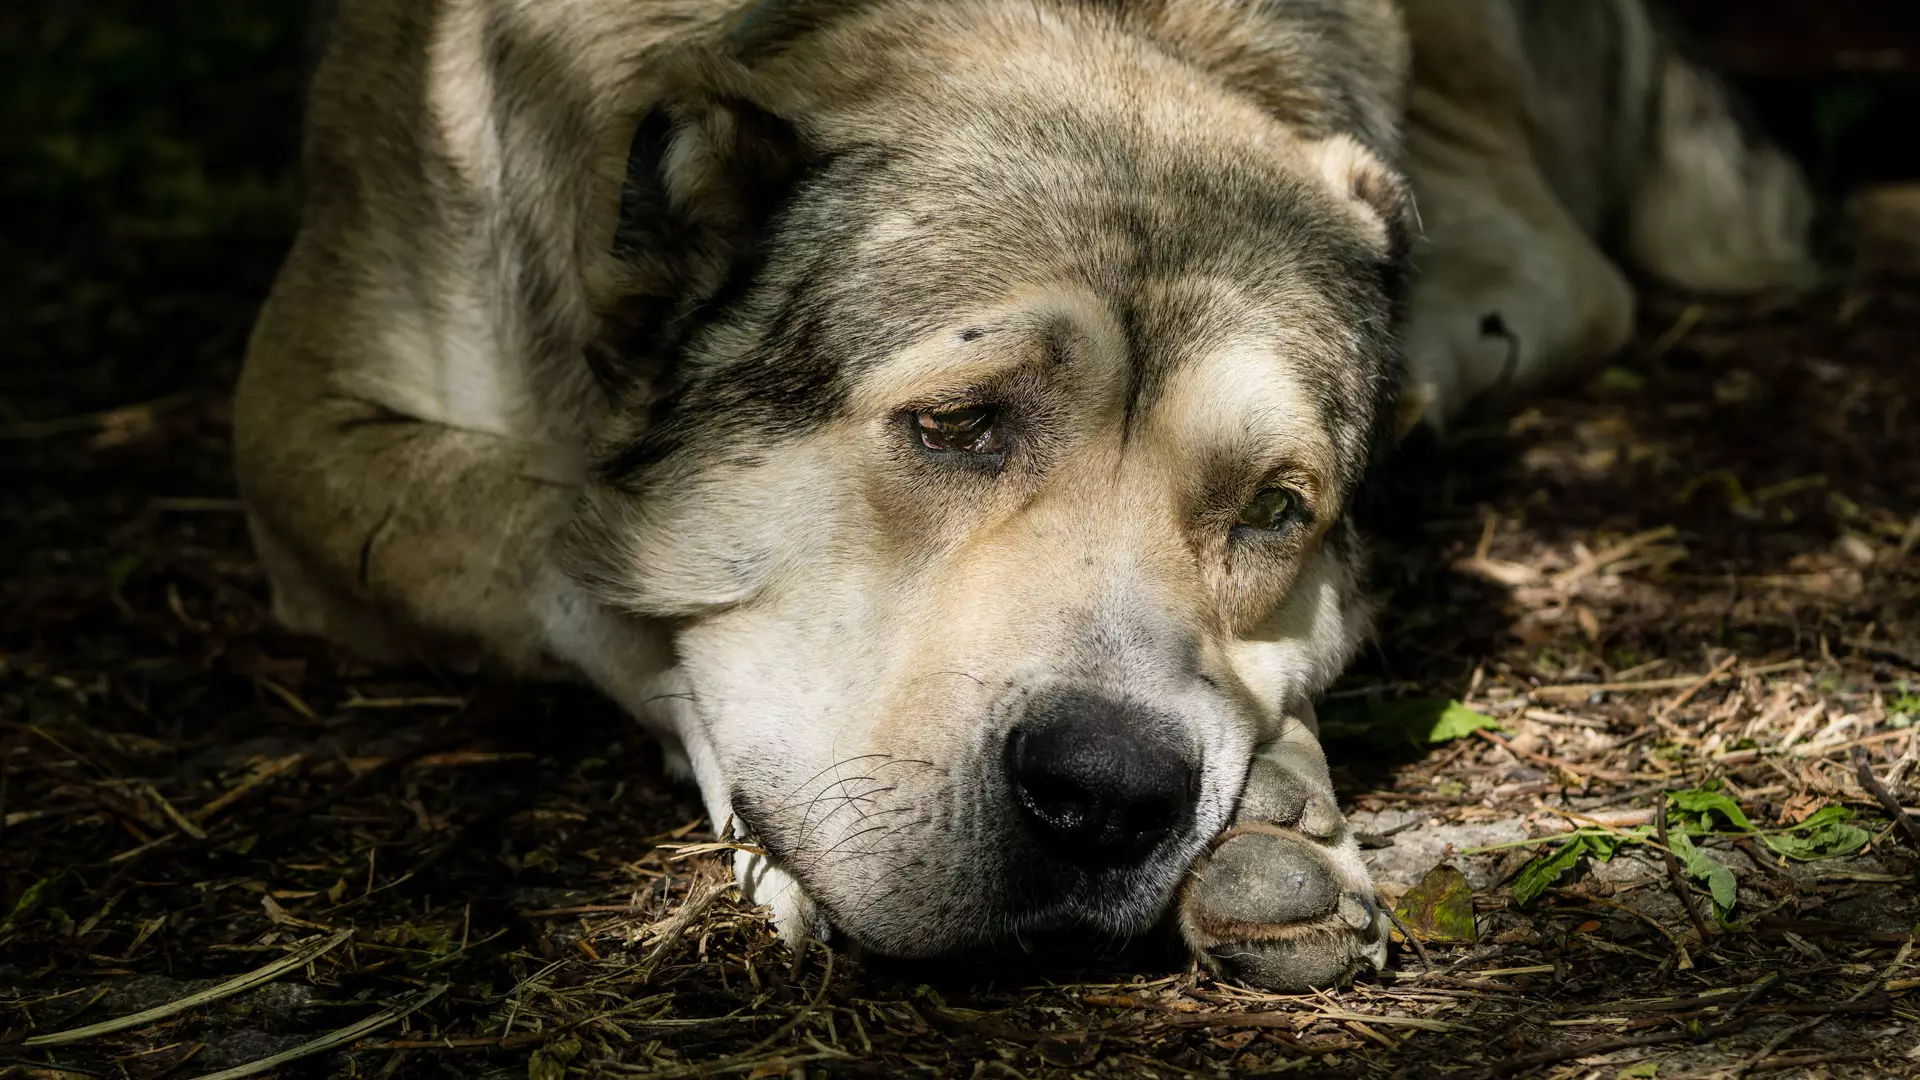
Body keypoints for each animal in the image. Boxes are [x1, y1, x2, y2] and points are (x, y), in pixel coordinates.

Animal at [232, 0, 1804, 991]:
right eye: (956, 425)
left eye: (1274, 510)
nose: (1109, 800)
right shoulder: (303, 431)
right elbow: (572, 543)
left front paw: (1278, 805)